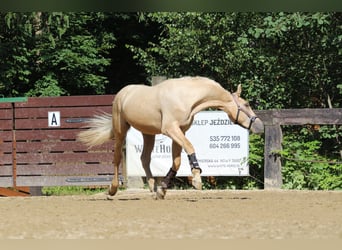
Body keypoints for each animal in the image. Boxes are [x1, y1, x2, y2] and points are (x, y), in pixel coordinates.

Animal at [78, 76, 264, 199]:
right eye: (246, 104)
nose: (260, 126)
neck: (186, 97)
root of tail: (123, 93)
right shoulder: (171, 129)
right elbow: (190, 148)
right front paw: (197, 179)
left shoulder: (180, 132)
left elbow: (177, 161)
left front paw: (162, 189)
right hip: (120, 130)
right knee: (117, 158)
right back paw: (113, 189)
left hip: (148, 133)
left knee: (144, 158)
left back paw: (152, 187)